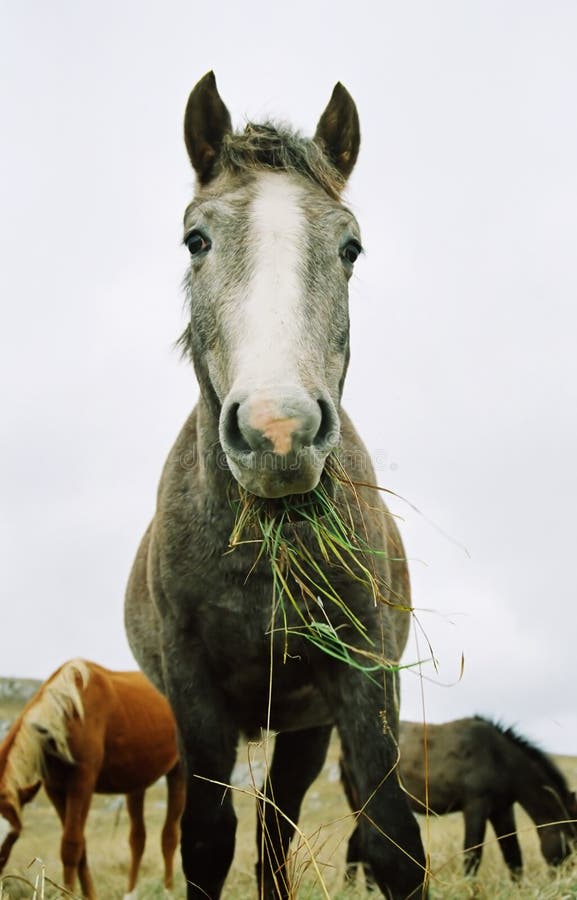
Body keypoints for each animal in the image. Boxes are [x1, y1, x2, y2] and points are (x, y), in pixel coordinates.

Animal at [0, 659, 185, 899]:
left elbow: (71, 845)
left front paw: (67, 894)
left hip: (178, 773)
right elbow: (82, 846)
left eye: (13, 835)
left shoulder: (82, 785)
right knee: (138, 838)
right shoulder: (55, 790)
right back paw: (131, 893)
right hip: (136, 784)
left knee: (169, 836)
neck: (68, 715)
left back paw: (168, 890)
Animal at [124, 71, 427, 900]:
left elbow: (392, 841)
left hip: (304, 730)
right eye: (196, 240)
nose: (277, 431)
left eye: (349, 247)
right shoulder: (195, 697)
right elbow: (205, 842)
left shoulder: (360, 677)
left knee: (275, 829)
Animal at [343, 716, 577, 886]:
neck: (500, 757)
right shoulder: (476, 806)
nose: (567, 882)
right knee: (358, 846)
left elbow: (513, 855)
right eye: (571, 841)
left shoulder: (502, 809)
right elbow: (472, 854)